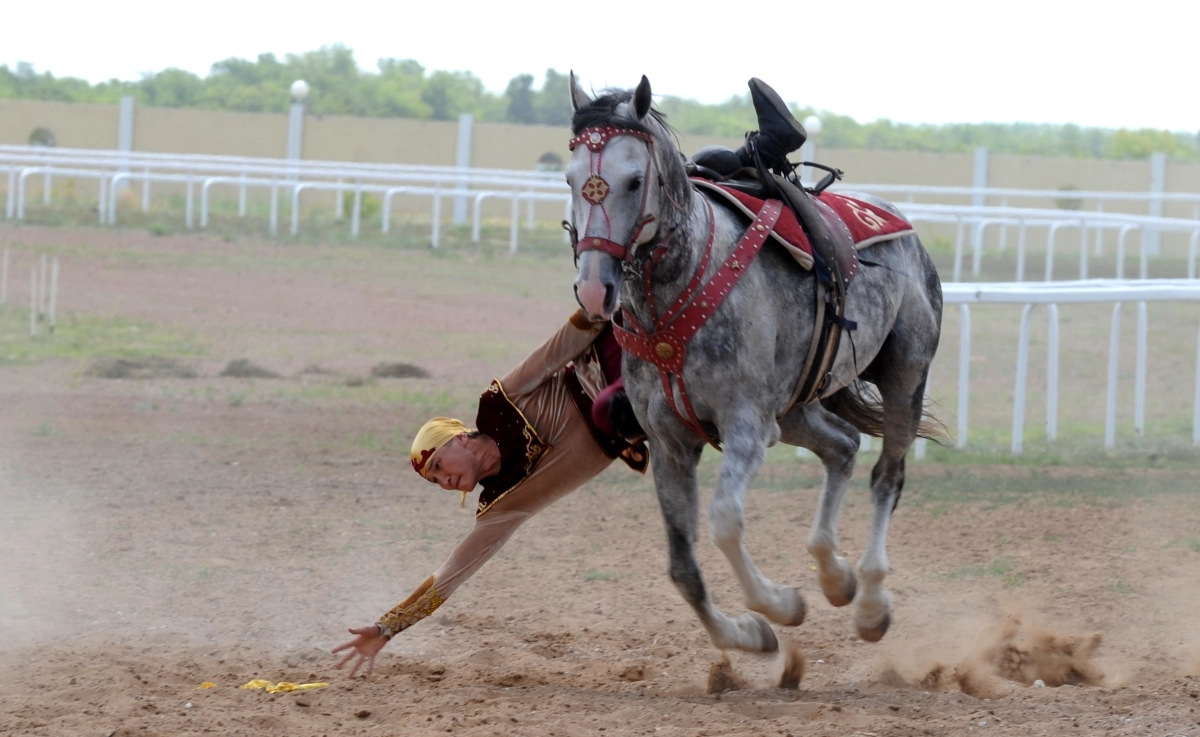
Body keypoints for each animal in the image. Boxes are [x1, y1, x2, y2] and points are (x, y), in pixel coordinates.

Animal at [566, 72, 940, 657]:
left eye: (633, 180)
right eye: (569, 177)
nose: (592, 287)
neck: (690, 274)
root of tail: (905, 230)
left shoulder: (745, 425)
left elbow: (723, 521)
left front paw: (779, 605)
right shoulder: (671, 445)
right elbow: (682, 568)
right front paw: (748, 634)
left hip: (904, 377)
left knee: (887, 476)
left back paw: (871, 602)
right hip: (794, 408)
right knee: (843, 446)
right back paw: (836, 577)